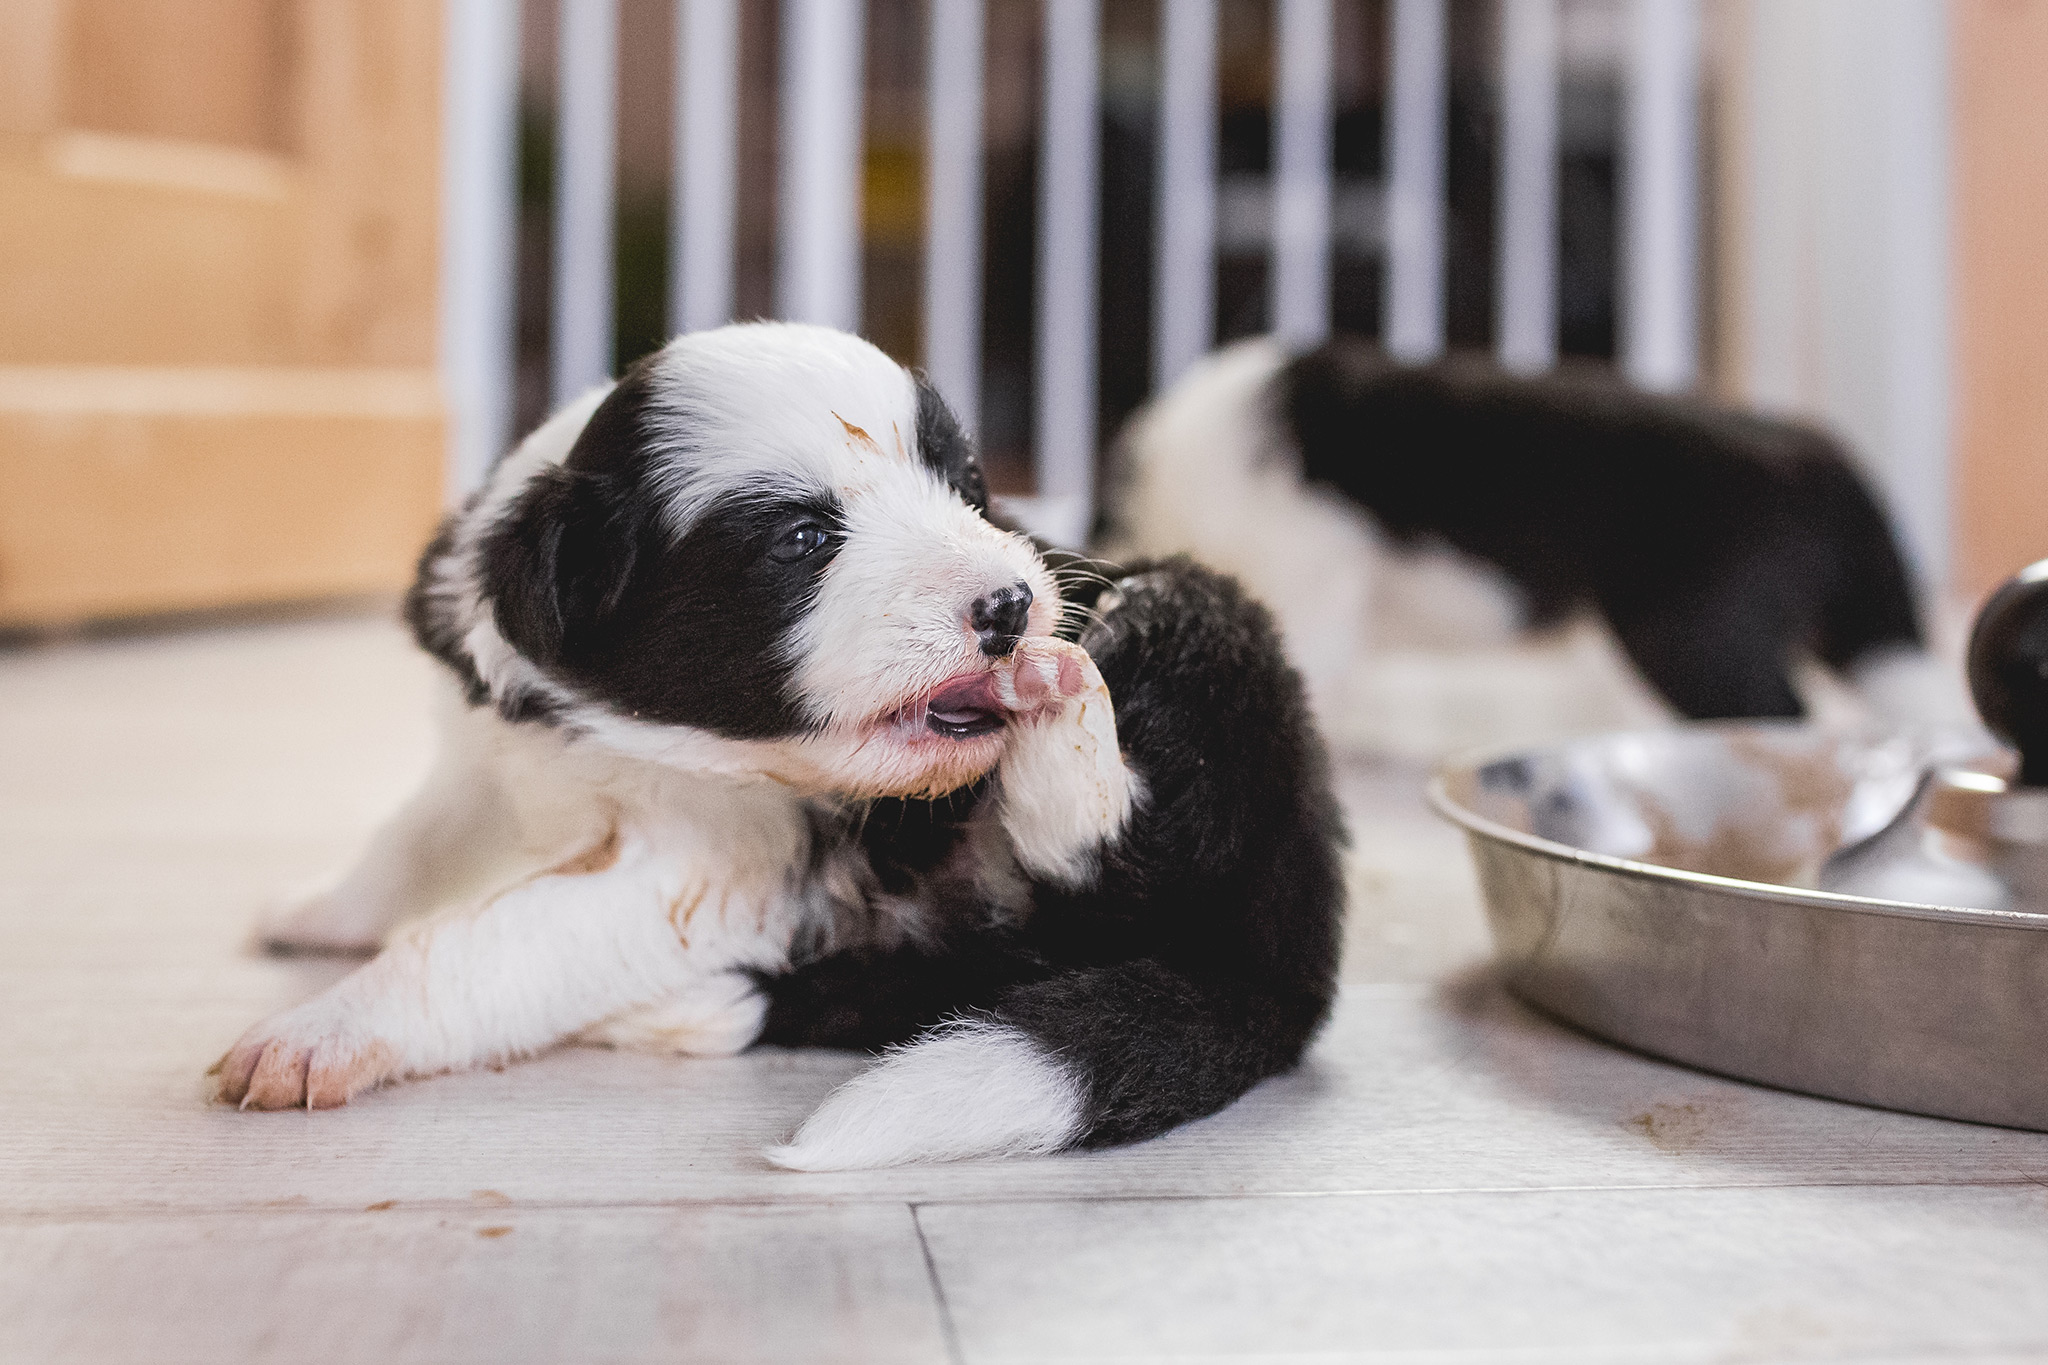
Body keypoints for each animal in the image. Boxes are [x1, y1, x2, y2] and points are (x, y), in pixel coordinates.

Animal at [224, 323, 1343, 1178]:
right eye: (803, 542)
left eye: (966, 485)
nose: (1011, 606)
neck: (633, 729)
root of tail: (1288, 962)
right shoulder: (487, 753)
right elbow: (415, 838)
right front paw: (318, 914)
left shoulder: (705, 869)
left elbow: (481, 941)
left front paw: (314, 1035)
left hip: (1197, 628)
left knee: (1120, 863)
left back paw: (1060, 717)